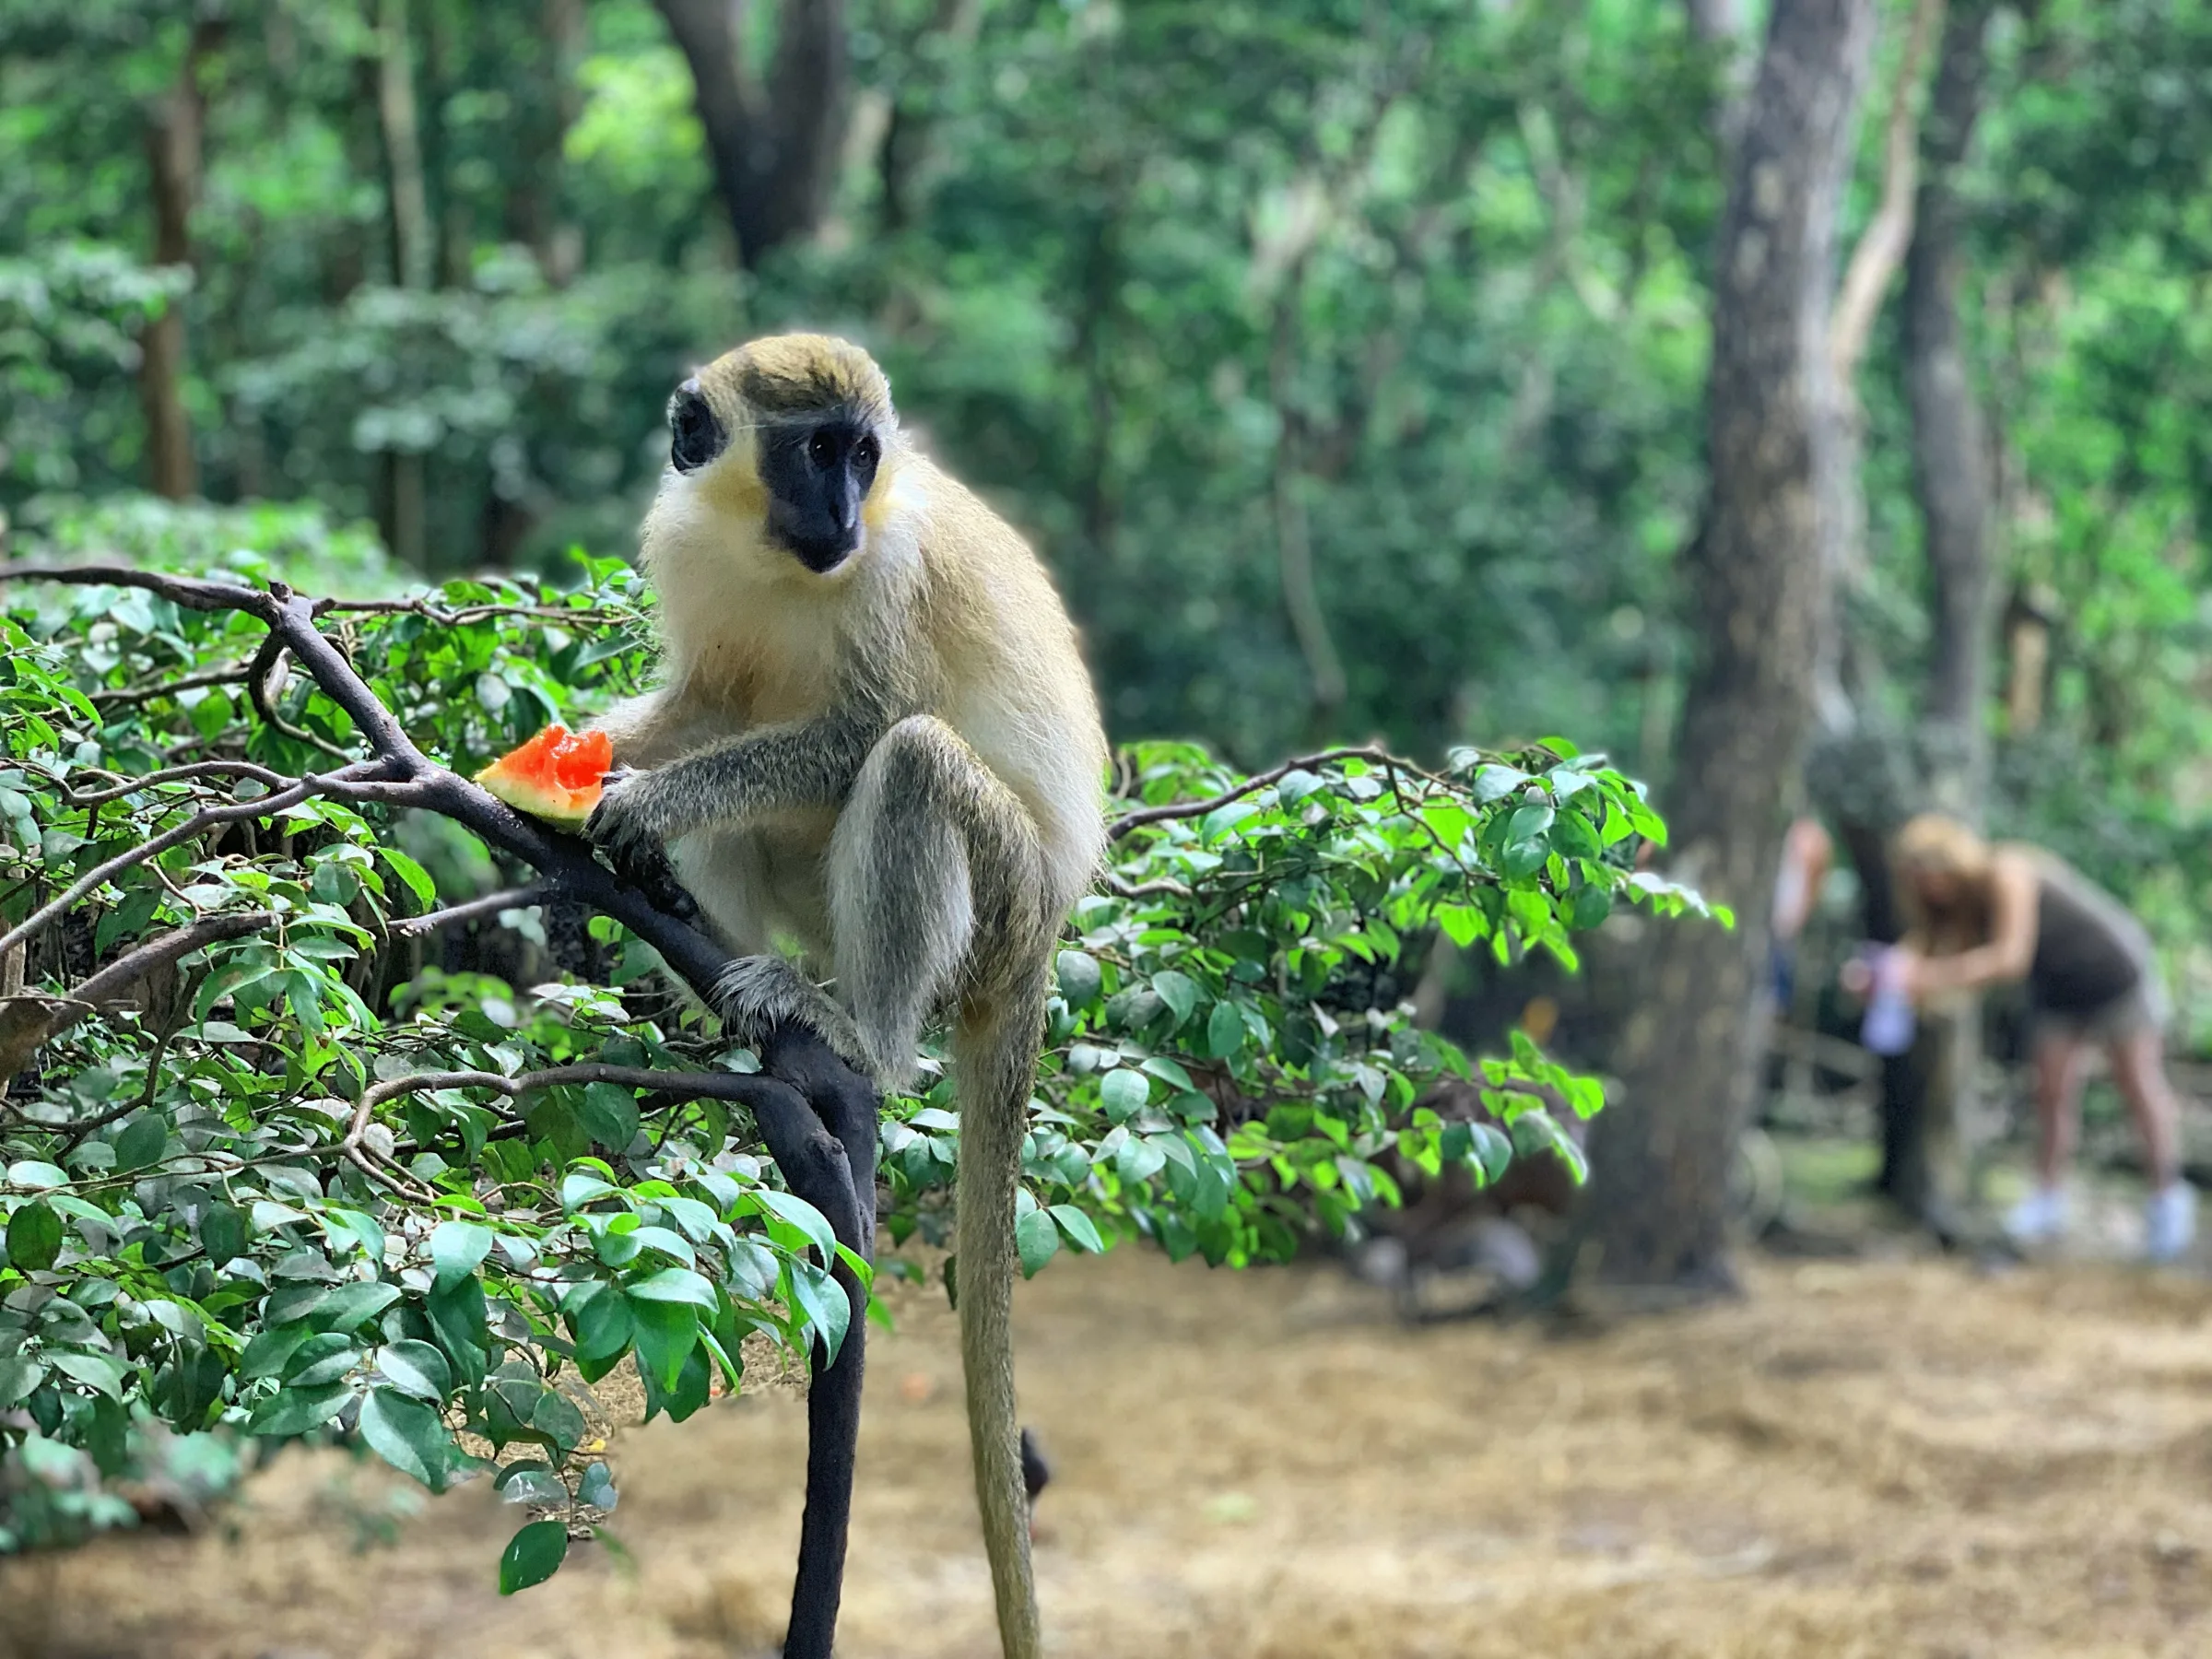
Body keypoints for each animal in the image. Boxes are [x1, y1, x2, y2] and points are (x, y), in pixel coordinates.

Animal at [583, 334, 1106, 1659]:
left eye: (864, 454)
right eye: (815, 449)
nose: (843, 511)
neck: (768, 549)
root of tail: (1043, 943)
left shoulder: (891, 573)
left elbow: (856, 730)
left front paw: (638, 801)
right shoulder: (690, 545)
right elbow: (704, 706)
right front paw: (568, 772)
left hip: (1001, 905)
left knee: (909, 758)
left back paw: (859, 1040)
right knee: (751, 787)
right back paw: (717, 977)